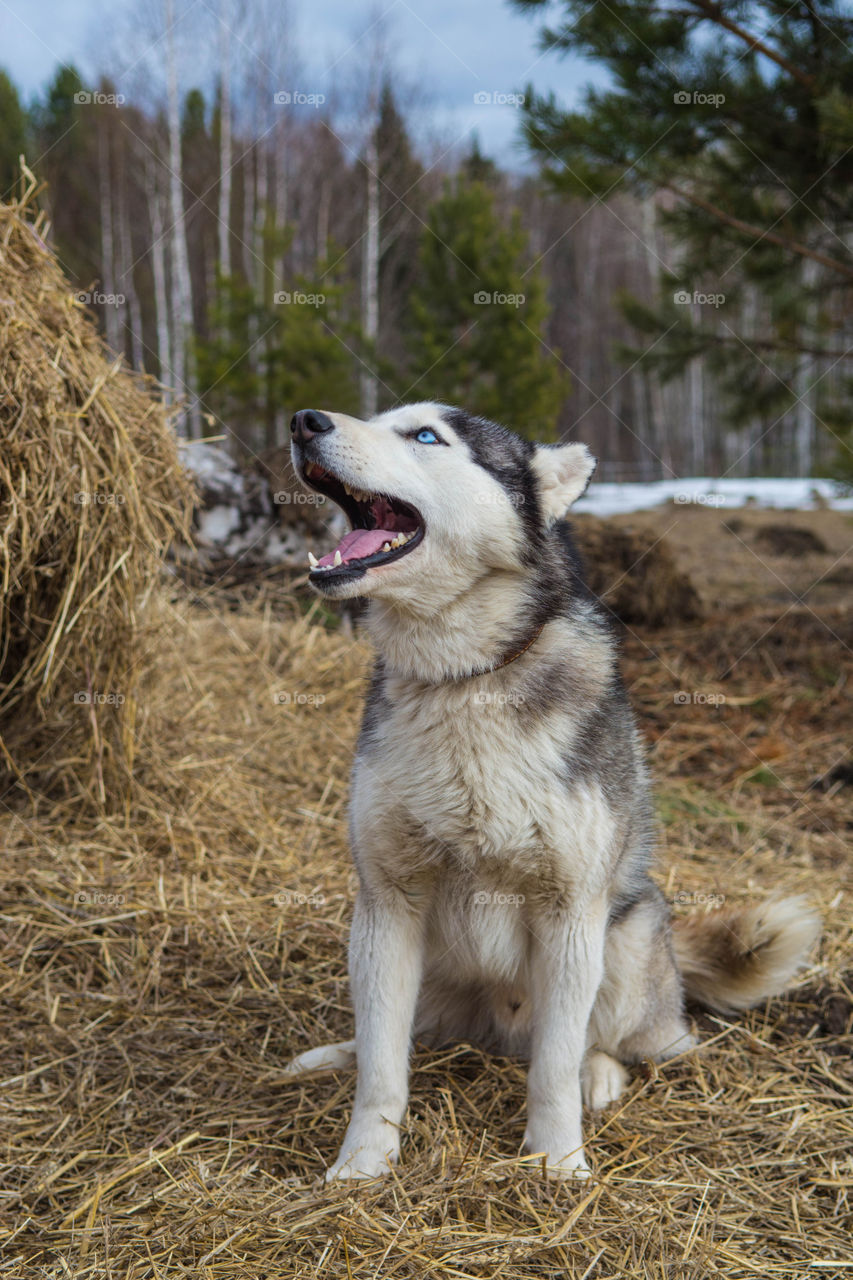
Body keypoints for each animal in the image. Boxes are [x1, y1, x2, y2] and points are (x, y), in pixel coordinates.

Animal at [285, 399, 819, 1177]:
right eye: (378, 416)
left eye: (425, 435)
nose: (304, 421)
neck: (464, 680)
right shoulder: (387, 905)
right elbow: (384, 1065)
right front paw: (361, 1165)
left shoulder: (570, 913)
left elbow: (554, 1065)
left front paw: (559, 1162)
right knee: (406, 1037)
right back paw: (334, 1053)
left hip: (624, 937)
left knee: (611, 1042)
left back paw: (602, 1075)